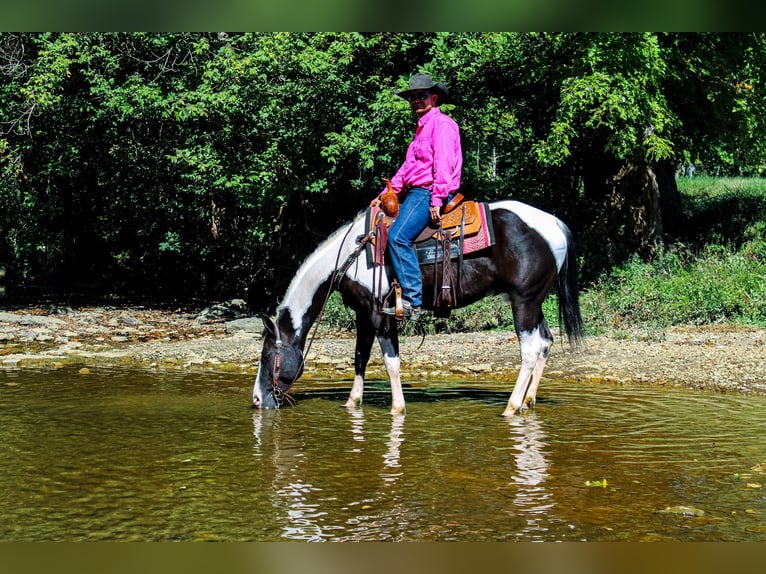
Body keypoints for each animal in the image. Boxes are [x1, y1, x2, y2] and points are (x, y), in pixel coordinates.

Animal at [252, 201, 584, 418]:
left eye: (267, 356)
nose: (257, 399)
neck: (352, 255)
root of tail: (554, 224)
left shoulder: (381, 314)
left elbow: (391, 362)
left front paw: (397, 408)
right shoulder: (362, 314)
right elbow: (359, 358)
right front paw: (352, 403)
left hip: (523, 301)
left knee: (530, 350)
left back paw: (511, 407)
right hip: (533, 302)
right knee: (545, 341)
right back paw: (528, 401)